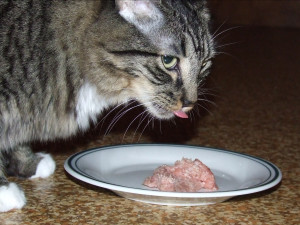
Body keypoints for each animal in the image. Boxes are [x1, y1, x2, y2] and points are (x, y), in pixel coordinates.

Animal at [0, 0, 216, 212]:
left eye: (204, 64)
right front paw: (4, 191)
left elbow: (17, 140)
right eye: (168, 61)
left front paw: (28, 163)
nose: (190, 103)